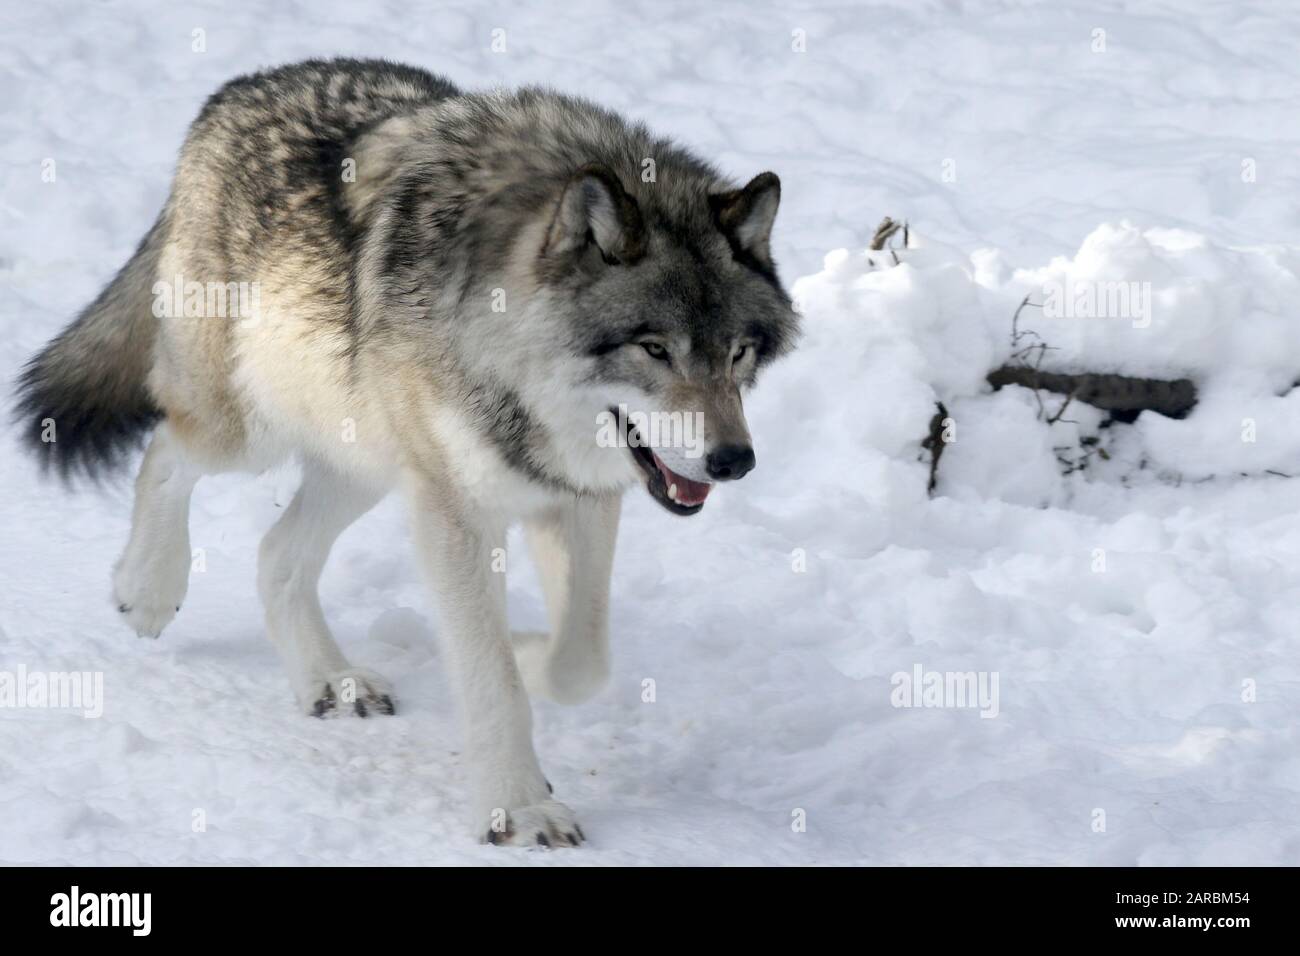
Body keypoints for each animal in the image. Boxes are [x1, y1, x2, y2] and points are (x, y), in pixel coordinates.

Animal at [15, 55, 795, 848]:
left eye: (738, 353)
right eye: (655, 349)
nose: (734, 460)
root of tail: (235, 91)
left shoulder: (578, 498)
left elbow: (583, 657)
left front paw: (529, 650)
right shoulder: (456, 515)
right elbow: (493, 677)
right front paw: (519, 806)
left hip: (364, 460)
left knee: (275, 551)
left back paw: (330, 681)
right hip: (248, 431)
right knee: (165, 450)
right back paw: (147, 589)